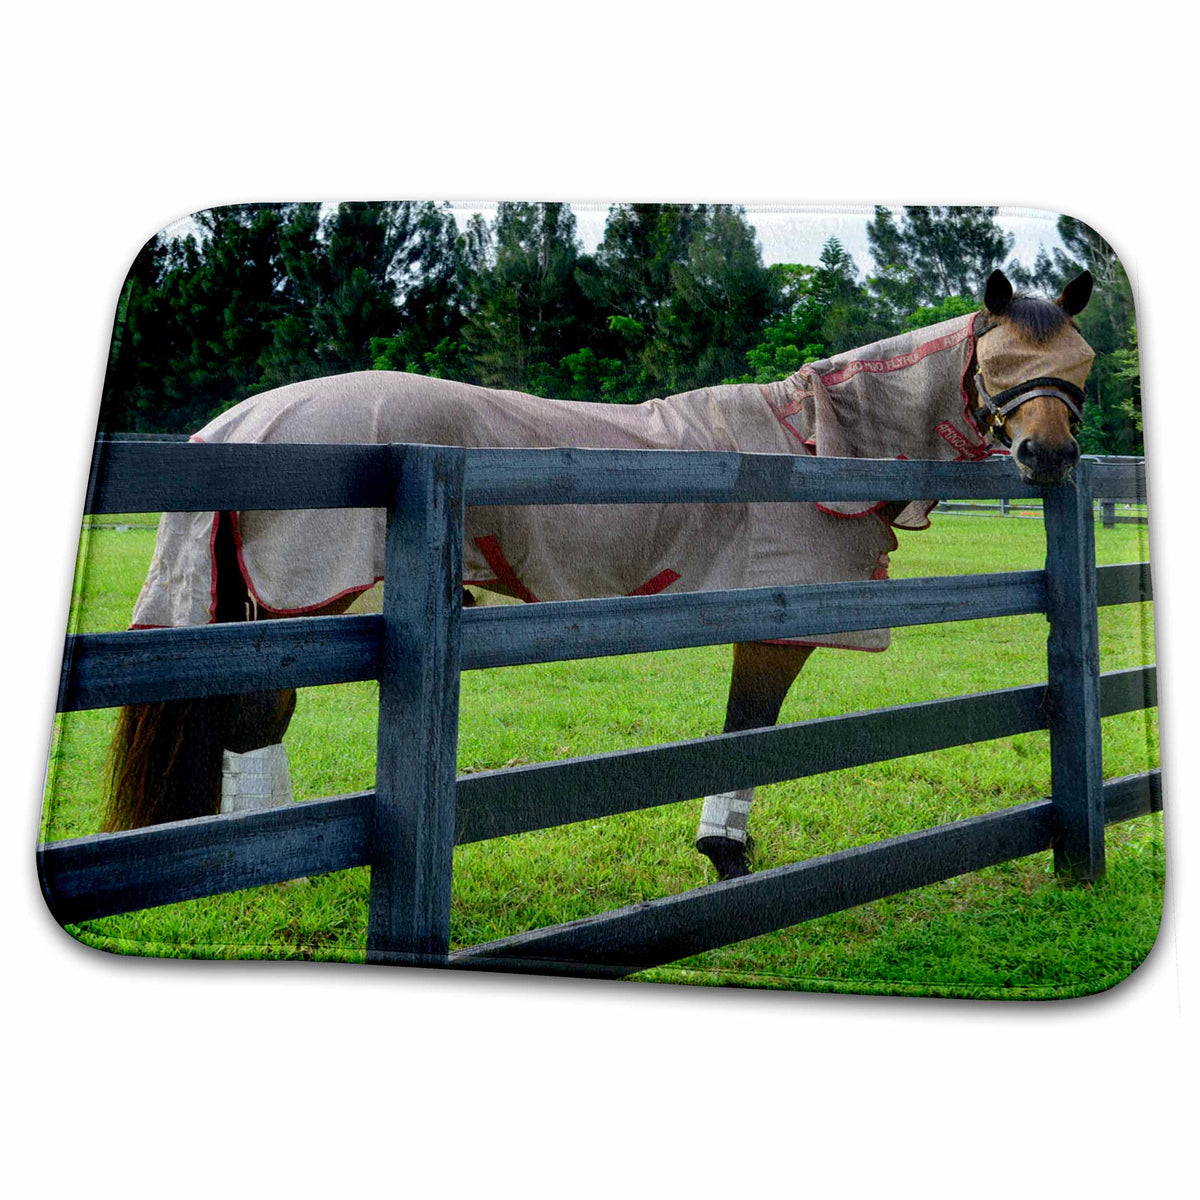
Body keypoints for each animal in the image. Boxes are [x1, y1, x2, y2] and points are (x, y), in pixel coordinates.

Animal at [102, 268, 1096, 880]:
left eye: (1079, 363)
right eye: (999, 362)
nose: (1049, 457)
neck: (811, 446)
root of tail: (244, 423)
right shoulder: (776, 620)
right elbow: (748, 732)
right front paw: (725, 855)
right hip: (304, 604)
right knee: (253, 719)